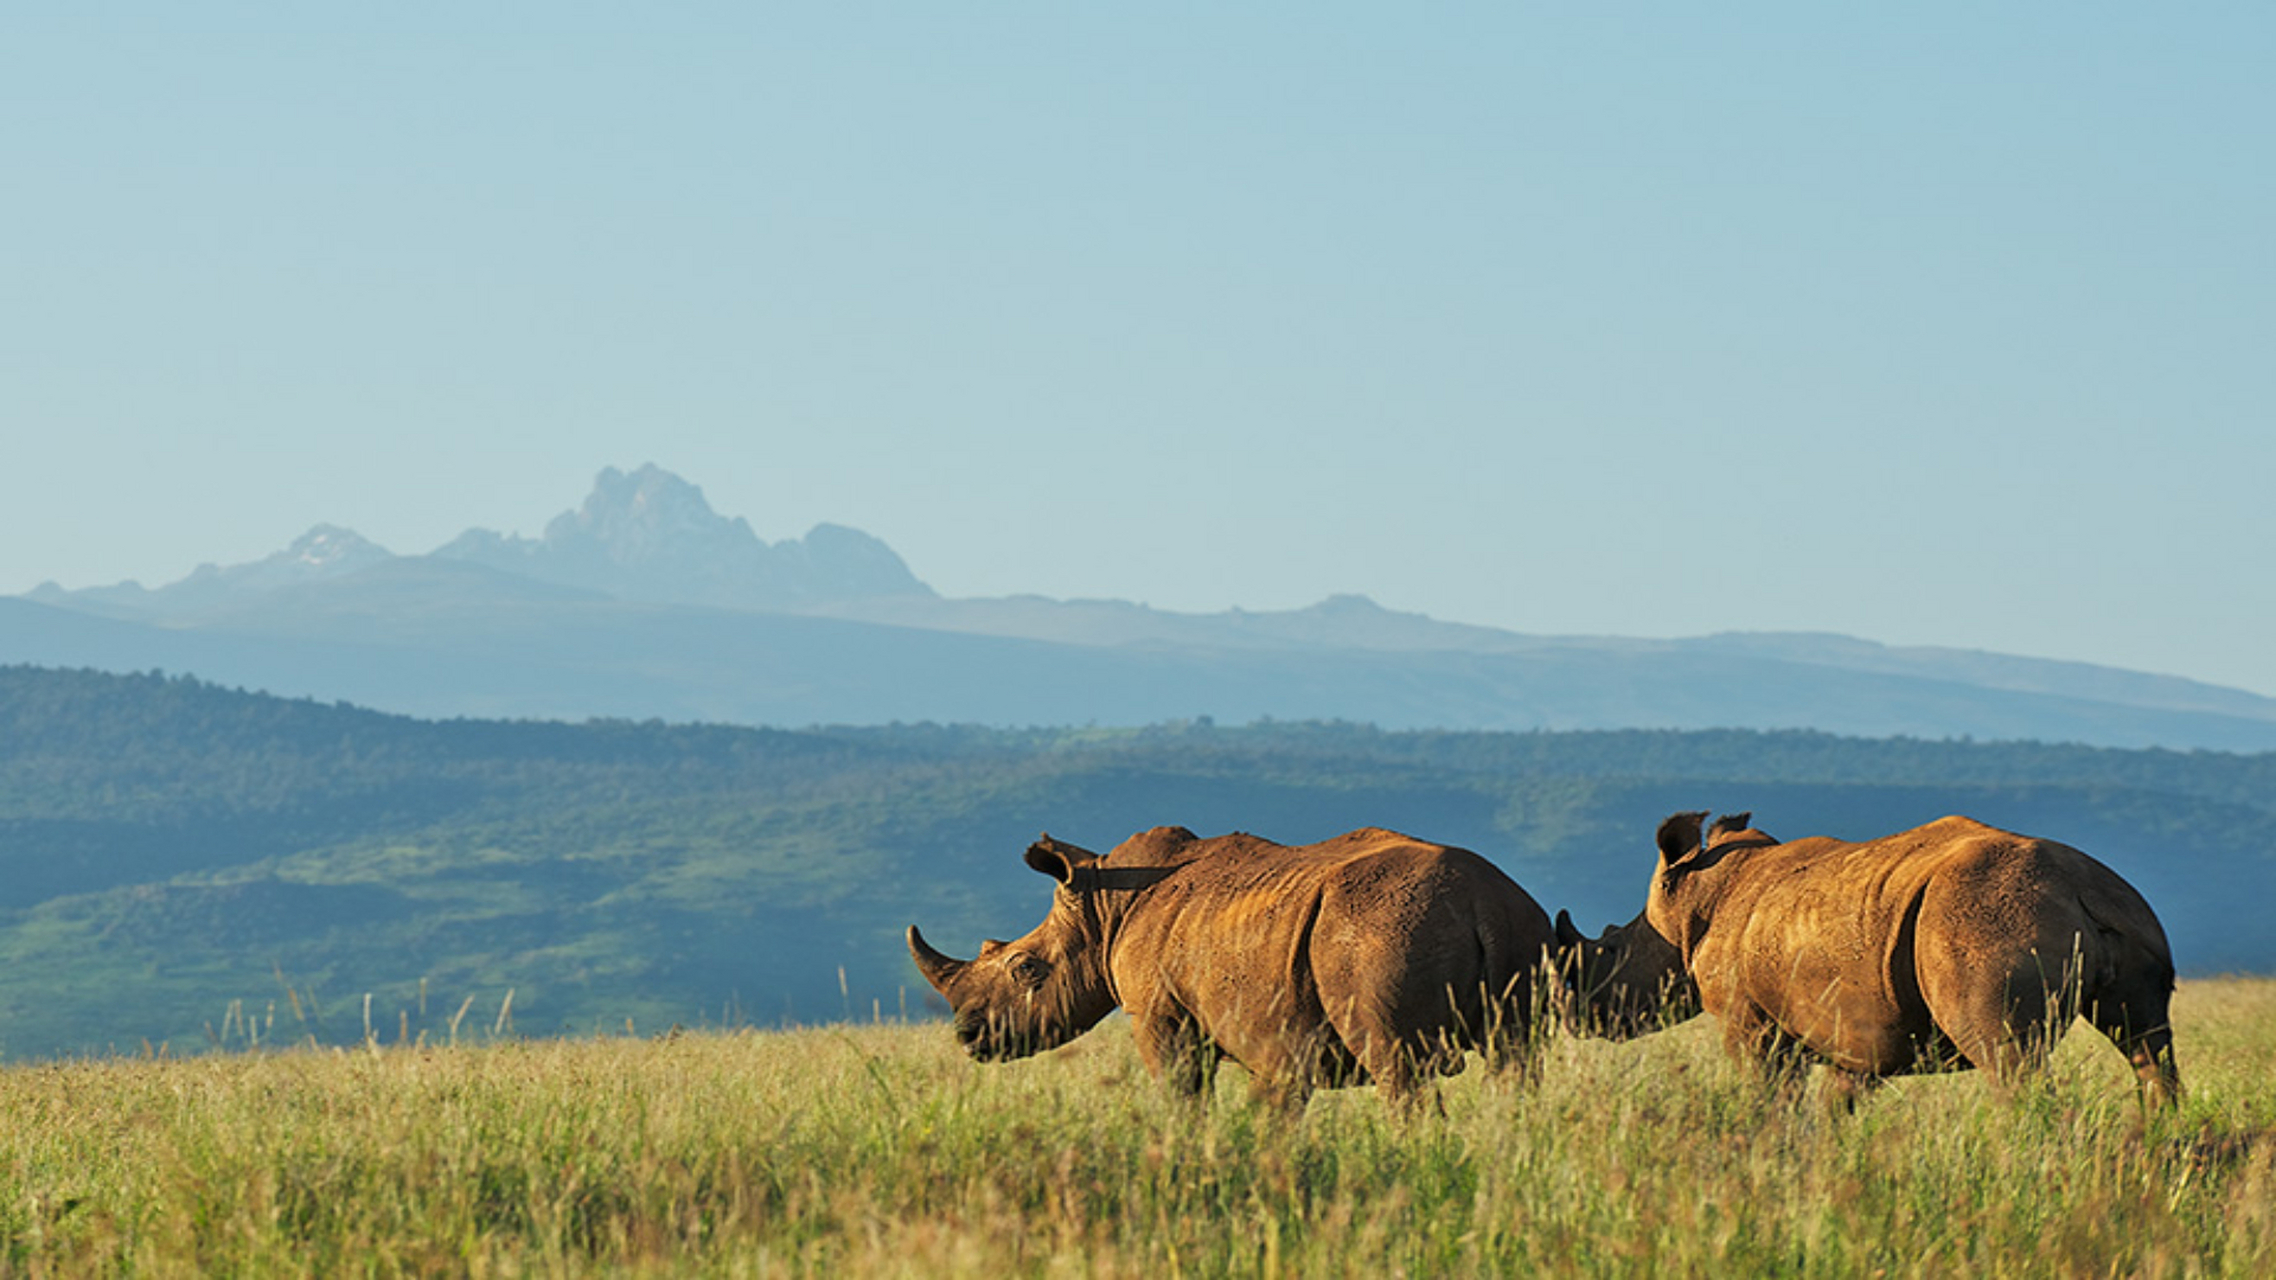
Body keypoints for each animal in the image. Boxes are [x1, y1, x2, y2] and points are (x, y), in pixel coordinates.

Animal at [905, 829, 1565, 1106]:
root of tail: (1484, 900)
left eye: (1026, 969)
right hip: (1521, 932)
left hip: (1384, 933)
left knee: (1395, 1064)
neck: (1103, 908)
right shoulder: (1274, 1034)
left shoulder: (1161, 1016)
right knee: (1516, 1062)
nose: (967, 1037)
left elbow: (1183, 1094)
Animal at [1647, 810, 2175, 1102]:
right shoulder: (1854, 1026)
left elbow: (1770, 1092)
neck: (1704, 887)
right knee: (2147, 1045)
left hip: (1987, 921)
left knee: (2008, 1061)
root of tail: (2082, 888)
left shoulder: (1750, 1021)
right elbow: (1838, 1100)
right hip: (2133, 916)